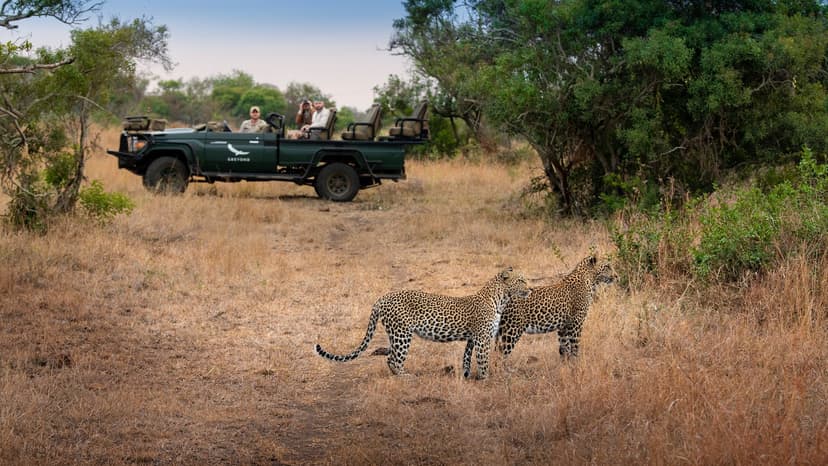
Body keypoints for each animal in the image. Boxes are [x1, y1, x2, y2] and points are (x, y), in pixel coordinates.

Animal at [315, 267, 530, 379]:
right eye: (521, 280)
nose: (530, 289)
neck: (500, 300)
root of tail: (382, 298)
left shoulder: (473, 338)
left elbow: (467, 358)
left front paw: (466, 376)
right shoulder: (483, 338)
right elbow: (484, 360)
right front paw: (486, 379)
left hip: (395, 334)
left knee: (390, 357)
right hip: (402, 334)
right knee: (394, 359)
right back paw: (406, 376)